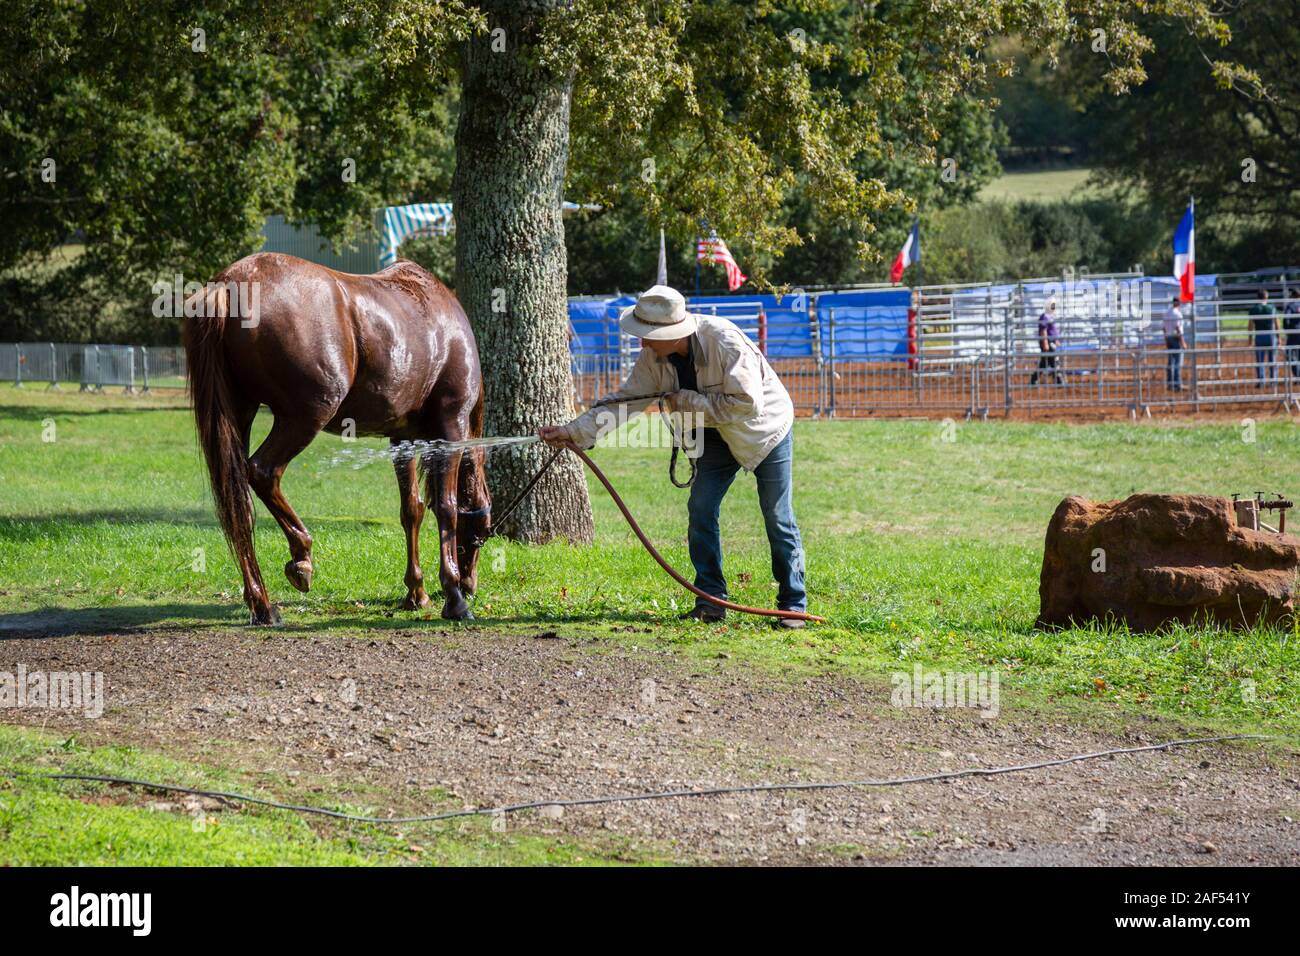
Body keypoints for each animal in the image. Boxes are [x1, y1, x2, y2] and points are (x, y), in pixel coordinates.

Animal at [182, 251, 488, 624]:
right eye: (482, 535)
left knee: (239, 500)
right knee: (263, 472)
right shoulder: (451, 428)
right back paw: (301, 557)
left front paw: (416, 592)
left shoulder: (402, 439)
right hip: (304, 418)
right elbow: (447, 508)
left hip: (241, 411)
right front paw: (454, 596)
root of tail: (228, 285)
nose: (472, 584)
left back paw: (262, 604)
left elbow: (411, 509)